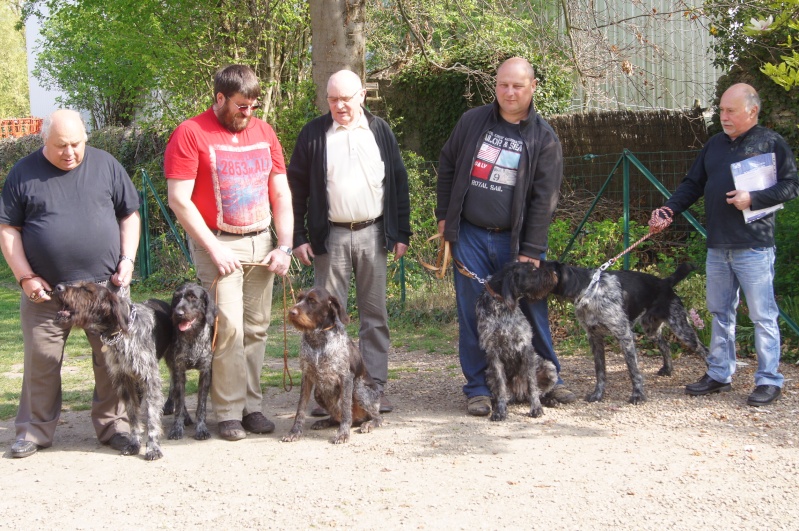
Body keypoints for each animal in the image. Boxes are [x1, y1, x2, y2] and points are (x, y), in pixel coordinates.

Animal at [54, 282, 172, 462]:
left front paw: (153, 448)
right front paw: (134, 443)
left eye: (87, 289)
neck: (119, 333)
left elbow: (152, 418)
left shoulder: (150, 380)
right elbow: (133, 417)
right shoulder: (124, 381)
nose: (58, 287)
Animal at [282, 286, 382, 444]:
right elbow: (300, 408)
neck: (317, 340)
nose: (291, 312)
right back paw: (325, 422)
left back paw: (369, 424)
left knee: (376, 417)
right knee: (336, 416)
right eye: (299, 298)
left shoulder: (346, 377)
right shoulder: (306, 376)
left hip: (358, 389)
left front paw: (343, 434)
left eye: (312, 300)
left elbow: (346, 409)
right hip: (318, 392)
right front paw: (294, 432)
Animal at [478, 260, 560, 422]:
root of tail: (519, 394)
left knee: (539, 392)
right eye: (533, 270)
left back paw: (549, 400)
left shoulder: (525, 347)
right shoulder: (493, 353)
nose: (554, 273)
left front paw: (536, 408)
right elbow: (501, 388)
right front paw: (500, 411)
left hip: (549, 367)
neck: (501, 307)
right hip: (489, 374)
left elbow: (532, 384)